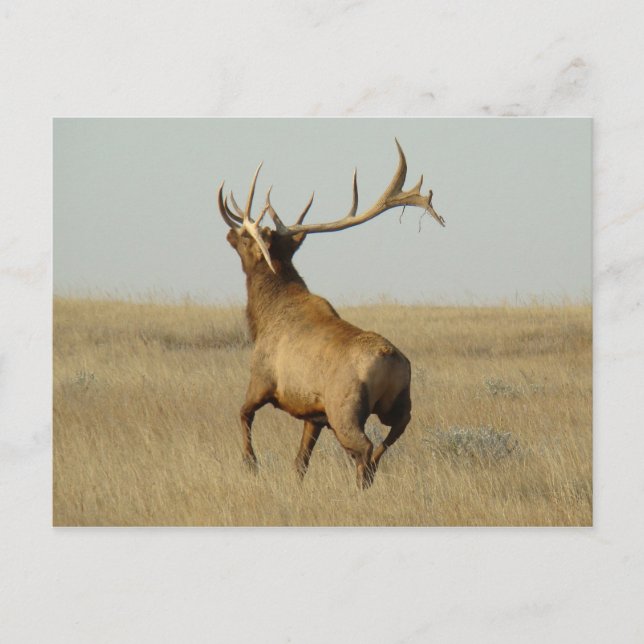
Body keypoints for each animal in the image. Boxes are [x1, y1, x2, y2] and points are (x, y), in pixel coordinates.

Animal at [217, 140, 445, 488]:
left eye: (246, 236)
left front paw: (251, 464)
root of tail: (391, 361)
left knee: (364, 448)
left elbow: (243, 414)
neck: (262, 316)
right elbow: (300, 462)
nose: (229, 233)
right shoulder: (315, 414)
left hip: (345, 408)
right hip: (398, 405)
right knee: (386, 441)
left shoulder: (262, 379)